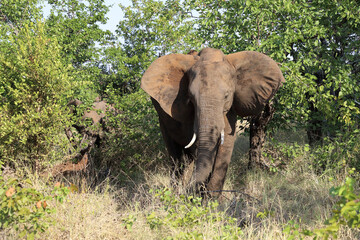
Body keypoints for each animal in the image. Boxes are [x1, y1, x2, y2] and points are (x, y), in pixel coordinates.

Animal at [141, 47, 284, 196]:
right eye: (191, 98)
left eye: (227, 95)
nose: (188, 193)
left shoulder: (230, 109)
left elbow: (225, 147)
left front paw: (211, 200)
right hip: (162, 120)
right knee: (176, 158)